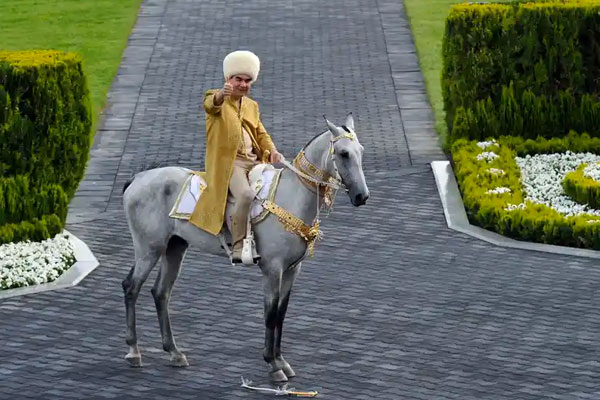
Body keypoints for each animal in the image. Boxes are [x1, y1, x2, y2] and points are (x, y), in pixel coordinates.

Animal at [120, 112, 368, 382]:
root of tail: (138, 178)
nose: (362, 196)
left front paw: (282, 361)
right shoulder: (272, 270)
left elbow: (281, 313)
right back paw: (133, 351)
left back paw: (174, 352)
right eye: (343, 153)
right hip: (149, 249)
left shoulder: (292, 270)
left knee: (161, 292)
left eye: (361, 152)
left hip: (175, 247)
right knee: (131, 287)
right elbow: (270, 314)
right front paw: (273, 365)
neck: (290, 197)